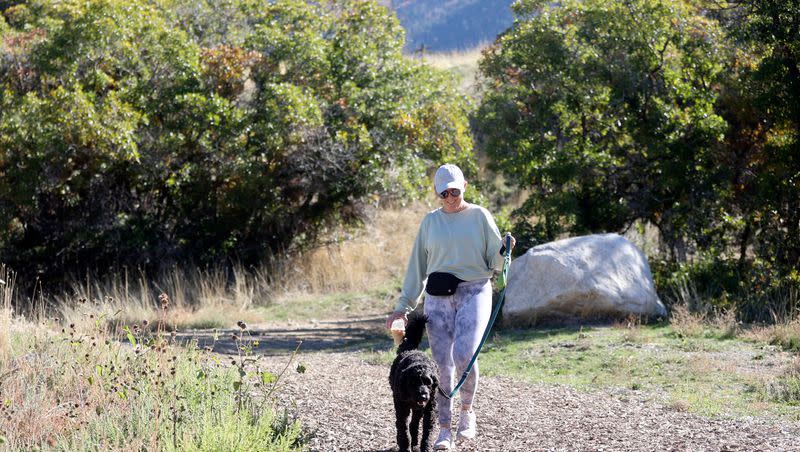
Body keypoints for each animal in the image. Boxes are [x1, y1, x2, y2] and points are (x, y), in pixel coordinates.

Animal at [388, 314, 438, 452]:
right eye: (414, 383)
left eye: (429, 383)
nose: (423, 396)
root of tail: (412, 349)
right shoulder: (402, 408)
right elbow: (403, 430)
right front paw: (404, 447)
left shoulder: (429, 411)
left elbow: (427, 433)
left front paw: (425, 448)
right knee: (403, 426)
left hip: (418, 410)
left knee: (414, 425)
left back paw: (415, 444)